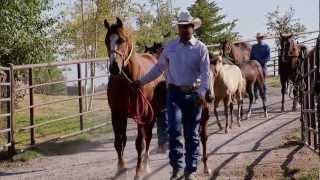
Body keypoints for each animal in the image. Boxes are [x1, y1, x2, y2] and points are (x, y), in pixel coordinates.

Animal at [104, 17, 165, 179]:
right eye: (106, 41)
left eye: (122, 40)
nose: (114, 67)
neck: (127, 82)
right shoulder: (117, 114)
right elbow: (118, 142)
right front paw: (121, 168)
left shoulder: (140, 114)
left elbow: (139, 143)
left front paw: (138, 172)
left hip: (151, 114)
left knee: (148, 137)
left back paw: (146, 165)